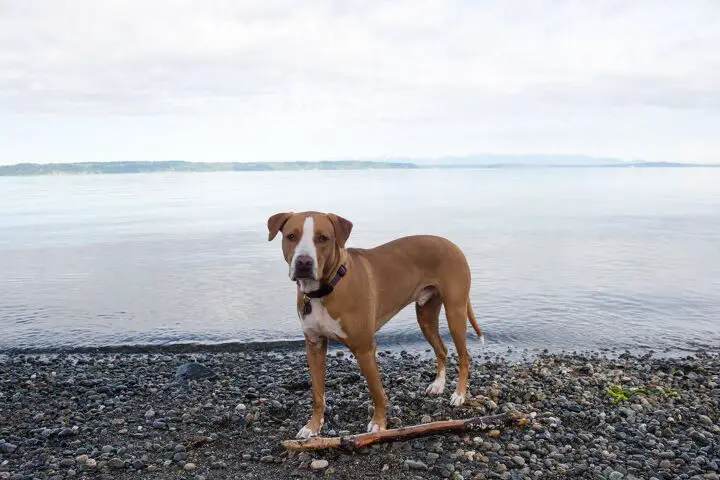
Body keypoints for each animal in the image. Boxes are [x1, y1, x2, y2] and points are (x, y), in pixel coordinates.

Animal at [266, 210, 484, 438]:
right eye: (291, 236)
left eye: (322, 238)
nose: (304, 262)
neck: (325, 289)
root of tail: (452, 244)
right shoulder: (314, 345)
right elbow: (318, 394)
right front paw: (313, 426)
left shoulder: (364, 349)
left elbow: (377, 392)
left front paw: (379, 424)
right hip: (426, 316)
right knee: (442, 349)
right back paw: (438, 385)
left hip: (455, 313)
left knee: (464, 357)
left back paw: (459, 395)